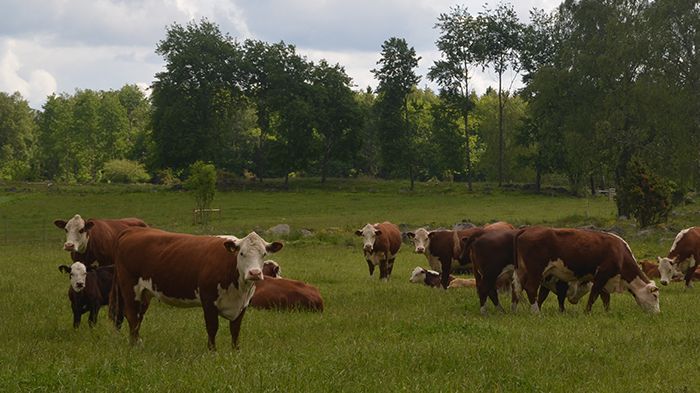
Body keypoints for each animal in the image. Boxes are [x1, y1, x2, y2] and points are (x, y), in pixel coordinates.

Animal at [112, 227, 282, 350]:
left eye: (264, 254)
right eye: (241, 253)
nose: (255, 273)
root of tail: (133, 230)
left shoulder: (243, 305)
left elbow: (235, 329)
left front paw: (235, 351)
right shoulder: (208, 300)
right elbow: (212, 328)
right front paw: (212, 352)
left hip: (145, 293)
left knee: (139, 316)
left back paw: (138, 342)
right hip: (130, 288)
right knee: (132, 315)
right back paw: (134, 346)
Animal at [512, 227, 660, 312]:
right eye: (655, 296)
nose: (657, 313)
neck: (620, 253)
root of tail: (526, 230)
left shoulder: (604, 279)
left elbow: (605, 297)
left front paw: (607, 312)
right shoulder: (602, 275)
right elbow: (594, 295)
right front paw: (587, 312)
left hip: (522, 271)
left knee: (517, 288)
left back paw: (514, 310)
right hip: (535, 271)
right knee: (531, 288)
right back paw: (536, 312)